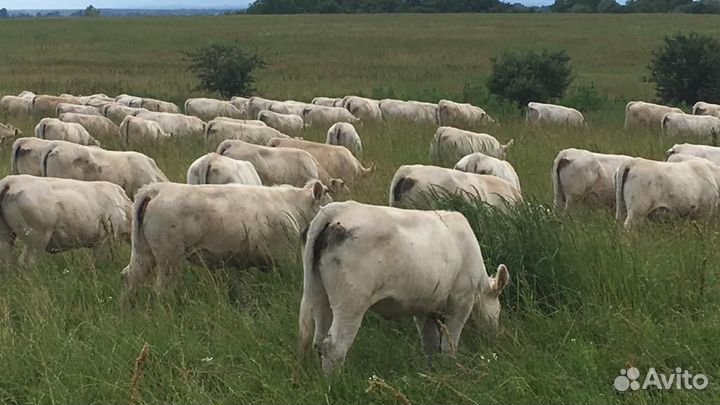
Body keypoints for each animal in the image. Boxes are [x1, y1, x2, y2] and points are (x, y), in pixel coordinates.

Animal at [120, 181, 332, 302]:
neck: (290, 205)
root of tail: (155, 189)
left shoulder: (243, 263)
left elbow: (242, 288)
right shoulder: (284, 257)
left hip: (143, 251)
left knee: (130, 277)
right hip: (169, 258)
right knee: (161, 289)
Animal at [299, 200, 509, 375]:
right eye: (499, 310)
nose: (493, 339)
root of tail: (337, 209)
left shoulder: (425, 309)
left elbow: (430, 344)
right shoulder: (460, 303)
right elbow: (449, 347)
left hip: (319, 295)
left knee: (317, 340)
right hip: (351, 302)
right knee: (334, 346)